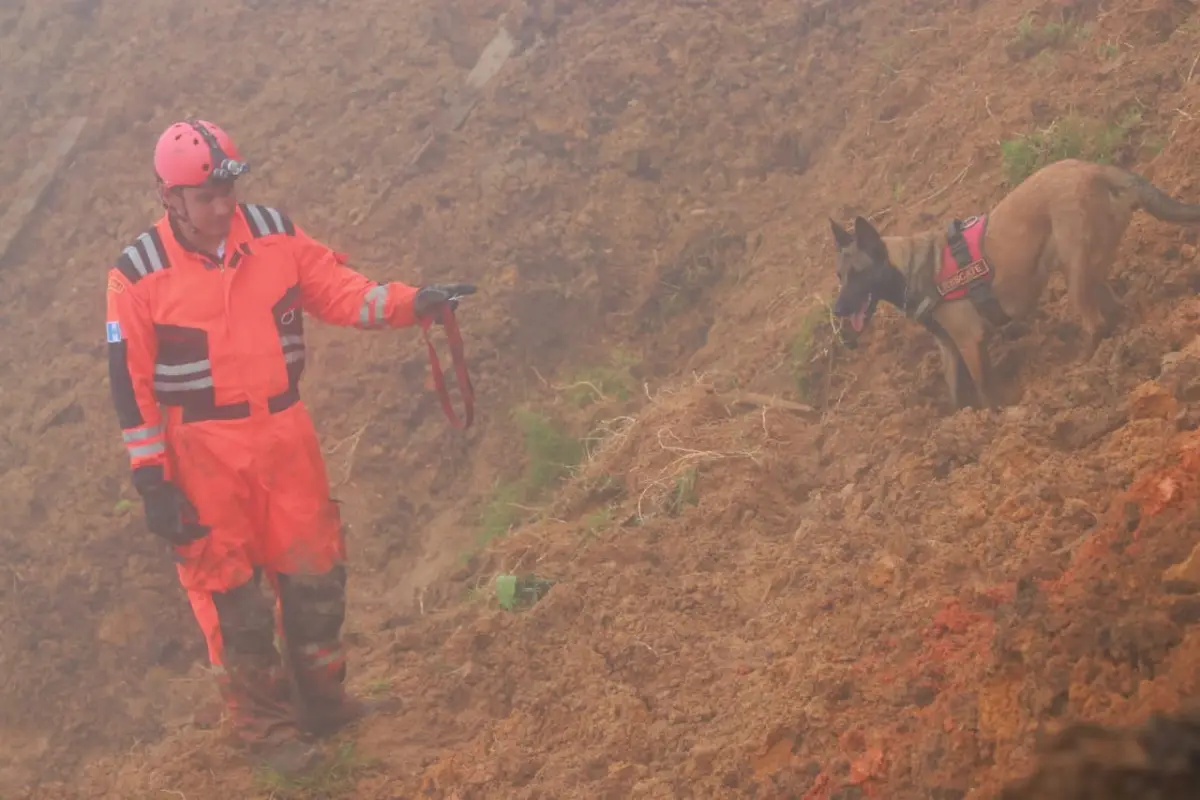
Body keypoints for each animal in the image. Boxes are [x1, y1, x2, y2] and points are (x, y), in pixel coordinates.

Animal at [830, 160, 1200, 417]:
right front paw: (961, 420)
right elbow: (956, 392)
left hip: (1073, 268)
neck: (910, 266)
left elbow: (983, 386)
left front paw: (989, 420)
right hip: (1090, 269)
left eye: (858, 274)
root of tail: (1093, 168)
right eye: (839, 275)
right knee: (1113, 309)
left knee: (1094, 323)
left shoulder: (969, 340)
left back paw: (1080, 368)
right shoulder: (950, 348)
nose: (836, 309)